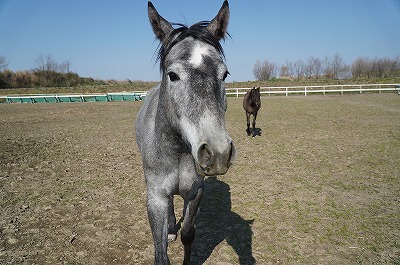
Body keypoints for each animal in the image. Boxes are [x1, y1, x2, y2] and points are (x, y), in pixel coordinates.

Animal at [135, 1, 234, 262]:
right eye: (173, 75)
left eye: (225, 74)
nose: (218, 153)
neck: (178, 152)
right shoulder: (156, 197)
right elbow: (161, 253)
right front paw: (168, 233)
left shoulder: (195, 192)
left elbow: (189, 235)